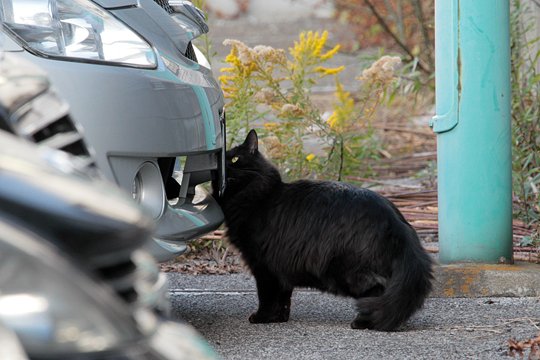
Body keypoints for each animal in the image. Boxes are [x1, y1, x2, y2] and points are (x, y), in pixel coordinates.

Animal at [216, 131, 434, 330]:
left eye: (235, 159)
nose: (222, 169)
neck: (257, 196)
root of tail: (397, 220)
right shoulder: (282, 264)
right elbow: (284, 297)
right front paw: (280, 318)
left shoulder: (263, 265)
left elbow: (267, 297)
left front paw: (262, 318)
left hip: (345, 270)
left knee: (376, 290)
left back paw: (363, 322)